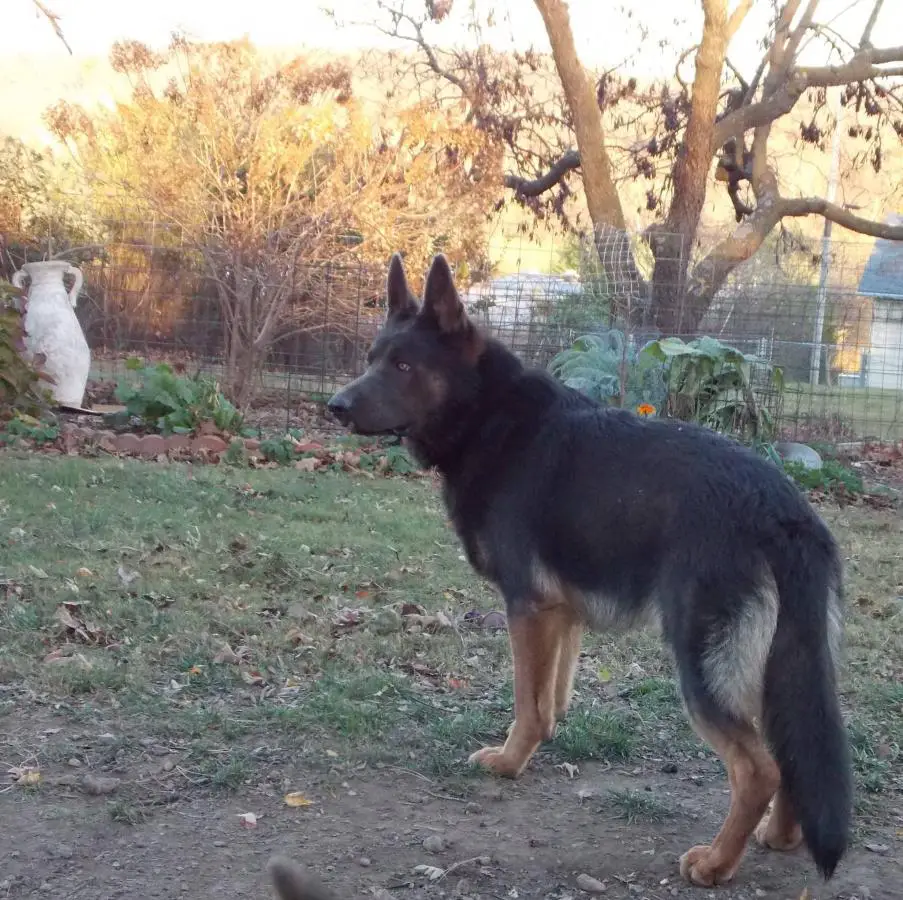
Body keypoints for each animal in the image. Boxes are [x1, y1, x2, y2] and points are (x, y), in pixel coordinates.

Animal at [326, 253, 856, 884]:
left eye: (404, 365)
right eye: (372, 360)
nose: (335, 407)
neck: (486, 416)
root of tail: (783, 510)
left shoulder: (526, 608)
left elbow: (526, 704)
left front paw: (508, 762)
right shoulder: (562, 617)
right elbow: (550, 701)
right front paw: (537, 748)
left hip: (701, 664)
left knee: (758, 768)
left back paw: (717, 862)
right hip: (768, 667)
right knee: (786, 748)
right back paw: (780, 836)